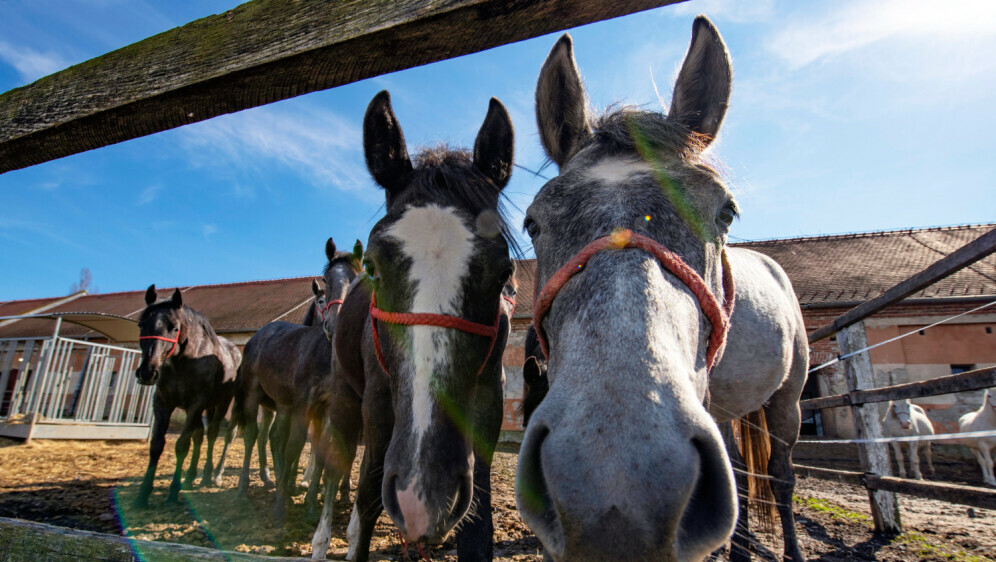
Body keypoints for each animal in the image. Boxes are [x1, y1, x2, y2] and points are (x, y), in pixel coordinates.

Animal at [134, 282, 241, 506]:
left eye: (174, 327)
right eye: (141, 325)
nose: (147, 372)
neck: (183, 361)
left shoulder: (196, 403)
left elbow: (182, 445)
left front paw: (173, 493)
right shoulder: (162, 402)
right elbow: (157, 445)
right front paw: (143, 494)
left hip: (221, 403)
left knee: (212, 434)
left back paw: (208, 475)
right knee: (199, 434)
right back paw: (191, 476)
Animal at [231, 236, 360, 516]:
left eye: (357, 279)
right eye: (326, 280)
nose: (335, 324)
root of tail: (260, 333)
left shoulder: (325, 409)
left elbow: (319, 451)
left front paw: (310, 503)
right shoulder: (303, 403)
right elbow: (295, 446)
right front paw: (282, 503)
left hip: (281, 404)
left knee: (273, 437)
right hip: (253, 395)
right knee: (252, 436)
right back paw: (245, 488)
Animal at [310, 89, 512, 556]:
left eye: (504, 273)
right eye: (374, 266)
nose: (425, 497)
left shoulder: (489, 406)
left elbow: (478, 527)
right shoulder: (376, 407)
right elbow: (367, 500)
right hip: (345, 399)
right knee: (336, 468)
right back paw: (320, 540)